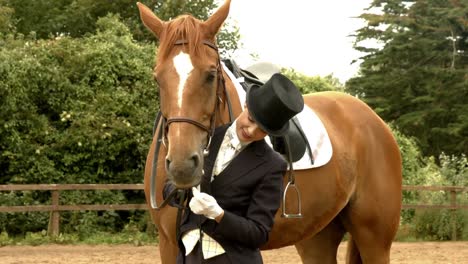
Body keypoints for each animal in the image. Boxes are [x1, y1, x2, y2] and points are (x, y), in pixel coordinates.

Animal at [136, 1, 402, 262]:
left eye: (210, 75)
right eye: (157, 78)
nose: (182, 167)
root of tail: (374, 120)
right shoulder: (168, 244)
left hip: (374, 239)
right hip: (317, 236)